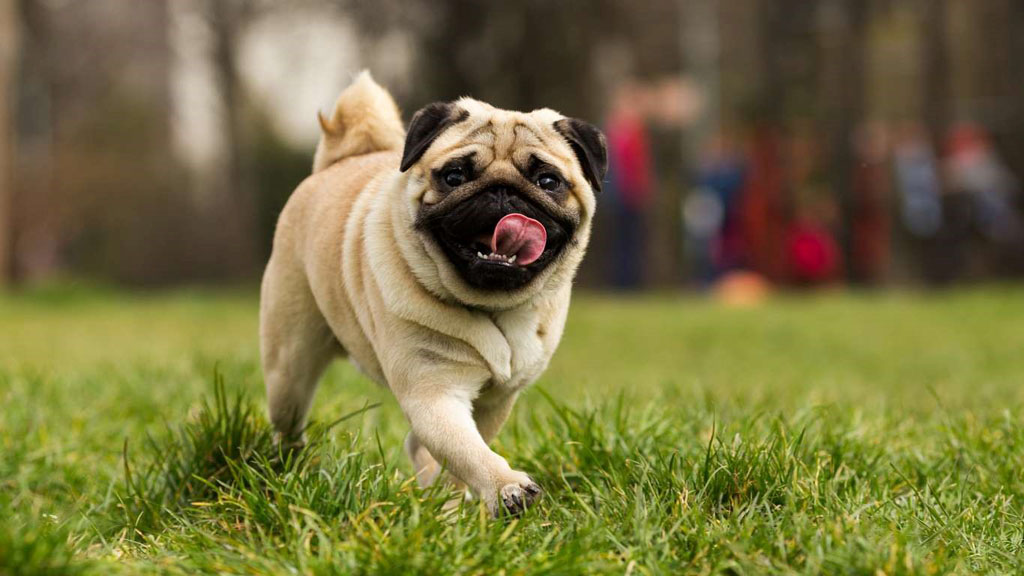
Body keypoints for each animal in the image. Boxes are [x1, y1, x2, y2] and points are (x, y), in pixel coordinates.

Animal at [260, 71, 602, 516]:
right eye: (454, 176)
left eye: (548, 181)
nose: (503, 192)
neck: (492, 306)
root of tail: (338, 160)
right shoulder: (434, 393)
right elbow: (467, 450)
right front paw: (506, 487)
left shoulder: (494, 401)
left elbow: (462, 452)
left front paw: (455, 500)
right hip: (288, 367)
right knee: (289, 417)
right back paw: (288, 467)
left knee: (418, 448)